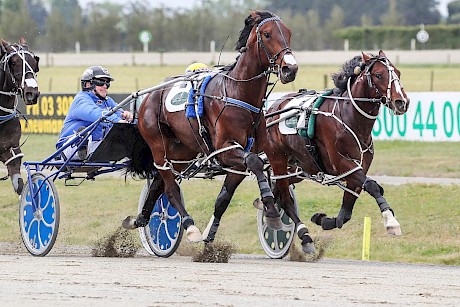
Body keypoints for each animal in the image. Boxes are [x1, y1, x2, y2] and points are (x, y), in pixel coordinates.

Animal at [124, 9, 300, 244]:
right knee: (169, 188)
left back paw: (141, 218)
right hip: (158, 146)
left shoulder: (242, 159)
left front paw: (212, 231)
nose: (290, 68)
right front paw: (271, 211)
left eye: (288, 33)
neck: (237, 93)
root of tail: (148, 97)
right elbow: (255, 162)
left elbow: (224, 198)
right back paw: (188, 226)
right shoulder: (225, 150)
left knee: (157, 185)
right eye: (267, 34)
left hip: (182, 152)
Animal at [262, 50, 410, 253]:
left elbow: (346, 212)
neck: (349, 118)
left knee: (278, 190)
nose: (402, 102)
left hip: (300, 168)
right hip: (278, 160)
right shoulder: (343, 164)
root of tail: (272, 109)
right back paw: (304, 236)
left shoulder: (357, 169)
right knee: (284, 198)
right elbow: (372, 186)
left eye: (398, 73)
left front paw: (323, 219)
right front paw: (391, 221)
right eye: (379, 75)